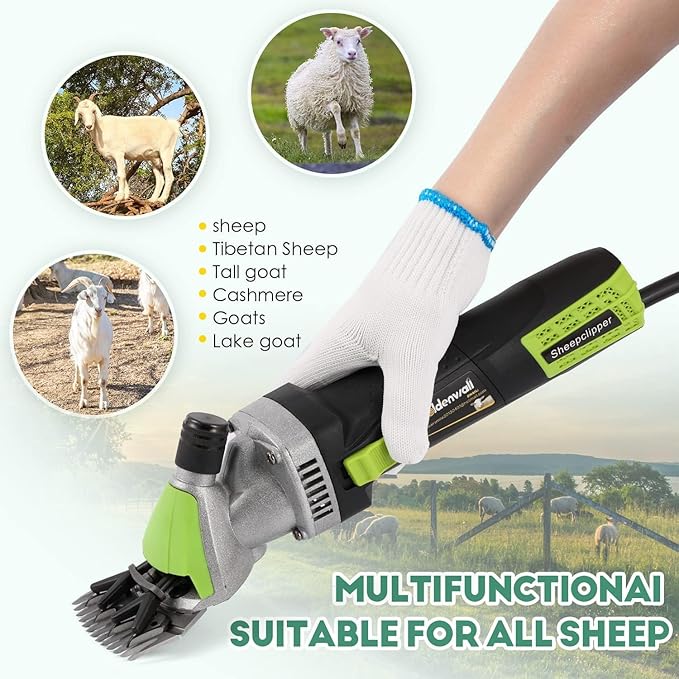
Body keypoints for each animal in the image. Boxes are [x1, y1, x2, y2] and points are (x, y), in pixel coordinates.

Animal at [62, 276, 113, 410]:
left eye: (105, 296)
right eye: (89, 296)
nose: (98, 310)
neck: (93, 335)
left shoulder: (104, 358)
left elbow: (103, 381)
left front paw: (104, 402)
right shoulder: (82, 359)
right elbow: (84, 380)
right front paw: (83, 402)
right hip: (75, 351)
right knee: (76, 367)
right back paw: (75, 385)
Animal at [285, 26, 374, 160]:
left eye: (358, 41)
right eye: (338, 41)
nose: (352, 53)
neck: (345, 87)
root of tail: (306, 63)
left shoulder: (353, 107)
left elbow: (356, 132)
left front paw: (359, 155)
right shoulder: (324, 101)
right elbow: (336, 107)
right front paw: (342, 139)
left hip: (324, 119)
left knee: (326, 134)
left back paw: (328, 153)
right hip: (296, 118)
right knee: (303, 134)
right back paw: (304, 153)